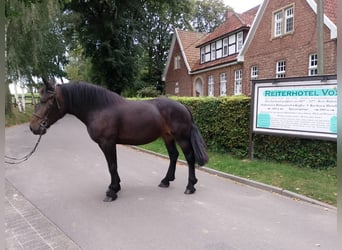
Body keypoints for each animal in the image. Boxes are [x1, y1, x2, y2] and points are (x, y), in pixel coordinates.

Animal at [30, 80, 208, 201]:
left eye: (47, 101)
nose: (34, 127)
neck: (99, 108)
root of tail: (183, 106)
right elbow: (112, 166)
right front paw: (116, 186)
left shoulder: (107, 143)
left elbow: (112, 166)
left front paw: (112, 191)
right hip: (167, 136)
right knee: (173, 156)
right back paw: (166, 181)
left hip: (181, 138)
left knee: (190, 158)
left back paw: (190, 186)